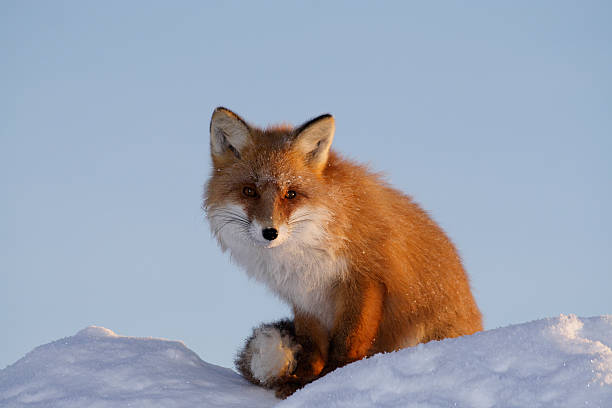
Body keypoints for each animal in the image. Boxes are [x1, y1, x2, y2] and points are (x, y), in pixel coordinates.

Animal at [206, 107, 482, 398]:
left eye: (291, 194)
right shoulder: (304, 297)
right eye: (249, 191)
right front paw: (304, 381)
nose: (270, 232)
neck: (307, 248)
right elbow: (311, 346)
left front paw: (335, 379)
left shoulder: (365, 277)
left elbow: (349, 341)